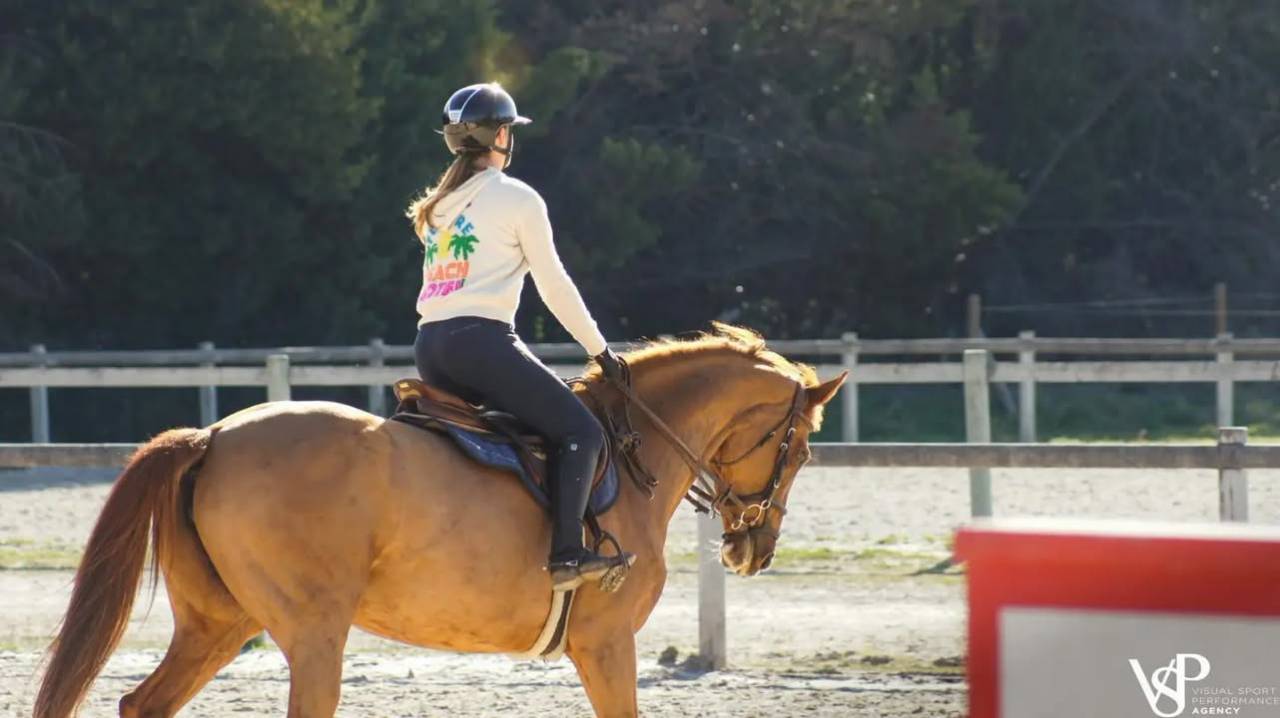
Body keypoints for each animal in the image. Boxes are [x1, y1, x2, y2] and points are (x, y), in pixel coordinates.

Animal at [34, 323, 846, 718]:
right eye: (802, 446)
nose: (753, 548)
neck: (632, 447)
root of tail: (214, 436)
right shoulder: (607, 643)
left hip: (219, 625)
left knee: (142, 705)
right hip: (313, 636)